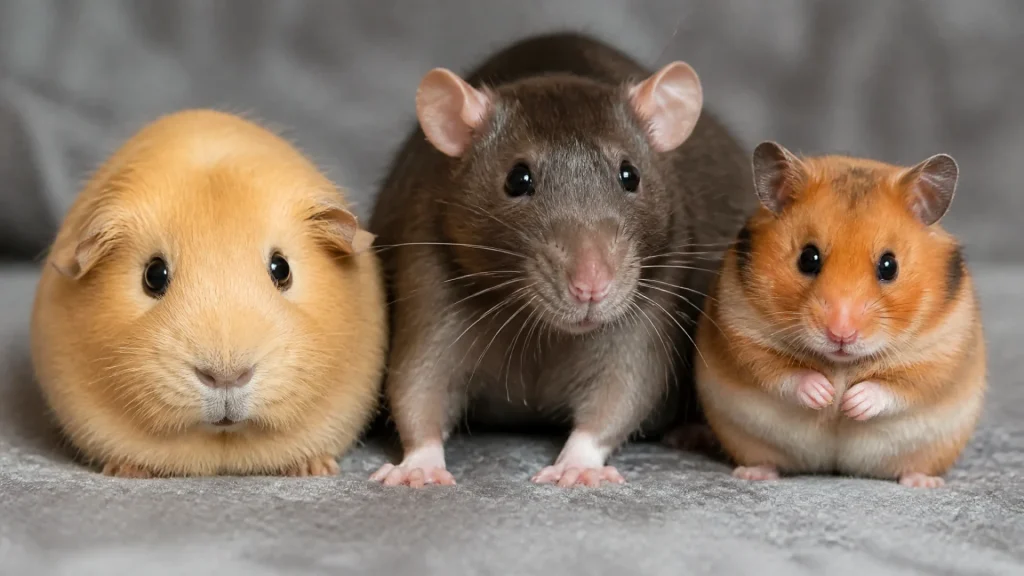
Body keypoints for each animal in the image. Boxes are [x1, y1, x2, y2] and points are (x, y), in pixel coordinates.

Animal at [368, 32, 755, 488]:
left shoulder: (654, 284)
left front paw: (579, 462)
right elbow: (418, 378)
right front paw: (420, 462)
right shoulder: (431, 266)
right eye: (518, 179)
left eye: (630, 175)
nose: (591, 285)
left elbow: (625, 383)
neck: (541, 331)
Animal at [694, 141, 986, 488]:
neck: (841, 364)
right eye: (808, 258)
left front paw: (848, 403)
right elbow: (782, 372)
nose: (840, 334)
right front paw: (826, 396)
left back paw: (923, 483)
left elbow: (897, 386)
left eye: (889, 266)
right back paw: (753, 474)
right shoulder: (742, 331)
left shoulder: (940, 352)